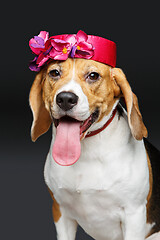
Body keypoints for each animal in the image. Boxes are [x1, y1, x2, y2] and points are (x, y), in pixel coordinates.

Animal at [29, 58, 160, 240]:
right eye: (54, 73)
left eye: (93, 75)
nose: (65, 99)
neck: (87, 153)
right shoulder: (61, 212)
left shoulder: (134, 214)